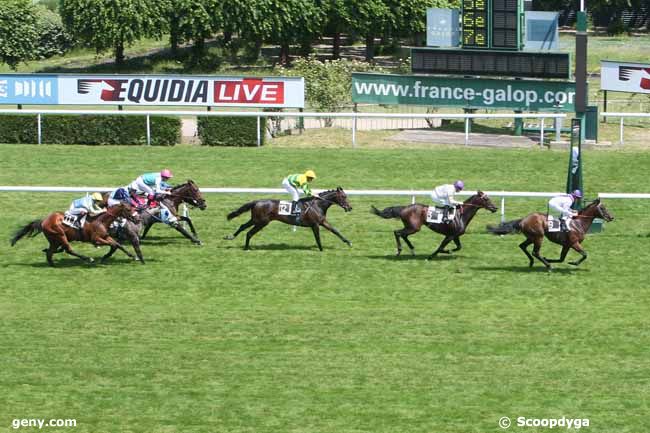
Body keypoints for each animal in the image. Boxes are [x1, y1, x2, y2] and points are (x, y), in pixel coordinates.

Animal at [224, 186, 354, 250]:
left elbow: (335, 231)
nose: (350, 207)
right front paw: (321, 249)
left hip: (256, 220)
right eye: (344, 196)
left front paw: (348, 242)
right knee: (249, 233)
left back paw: (231, 237)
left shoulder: (322, 221)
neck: (317, 205)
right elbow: (318, 238)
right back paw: (246, 248)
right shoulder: (315, 224)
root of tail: (256, 202)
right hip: (261, 222)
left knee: (243, 227)